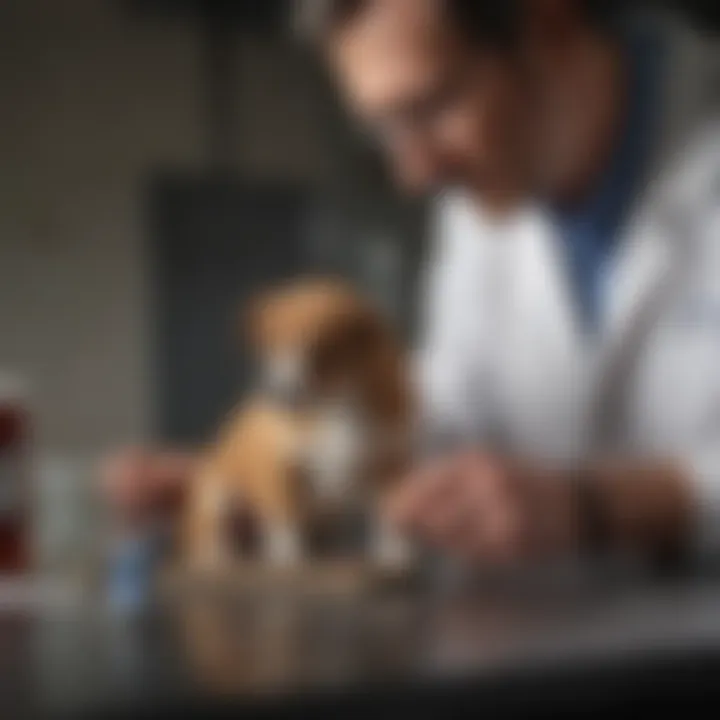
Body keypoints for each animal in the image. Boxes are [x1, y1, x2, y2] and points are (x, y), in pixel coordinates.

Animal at [183, 278, 414, 572]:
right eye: (271, 346)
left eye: (320, 350)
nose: (275, 392)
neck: (335, 405)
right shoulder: (279, 468)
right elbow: (286, 519)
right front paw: (289, 560)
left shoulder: (390, 466)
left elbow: (389, 516)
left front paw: (394, 554)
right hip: (216, 500)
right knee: (215, 538)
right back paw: (220, 560)